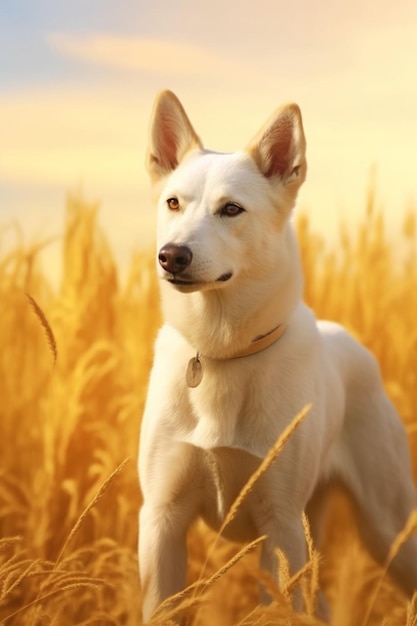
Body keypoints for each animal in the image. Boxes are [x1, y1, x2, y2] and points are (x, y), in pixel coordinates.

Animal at [139, 90, 416, 620]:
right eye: (172, 202)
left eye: (231, 209)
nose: (172, 255)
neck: (221, 354)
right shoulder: (162, 520)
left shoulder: (281, 526)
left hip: (388, 528)